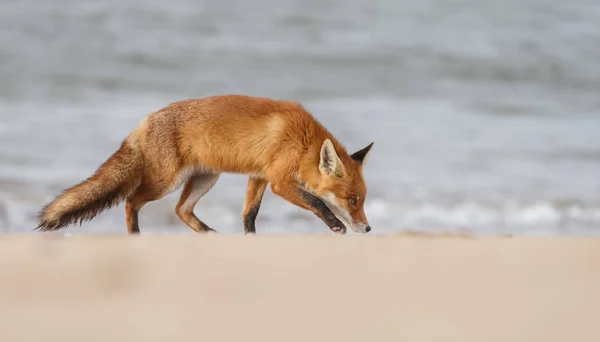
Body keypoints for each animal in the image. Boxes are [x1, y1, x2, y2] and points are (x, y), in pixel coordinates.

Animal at [35, 95, 372, 234]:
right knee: (131, 200)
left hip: (206, 179)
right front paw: (335, 224)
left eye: (362, 200)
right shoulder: (279, 181)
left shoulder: (259, 177)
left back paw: (209, 234)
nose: (368, 228)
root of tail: (144, 122)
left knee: (181, 210)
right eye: (352, 200)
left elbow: (249, 215)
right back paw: (135, 235)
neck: (302, 140)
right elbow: (317, 202)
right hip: (165, 182)